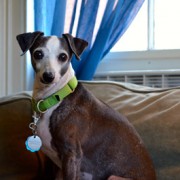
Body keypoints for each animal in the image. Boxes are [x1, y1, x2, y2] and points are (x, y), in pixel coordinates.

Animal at [16, 31, 156, 179]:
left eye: (63, 56)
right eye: (38, 54)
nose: (49, 76)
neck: (55, 98)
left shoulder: (72, 155)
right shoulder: (58, 168)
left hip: (114, 177)